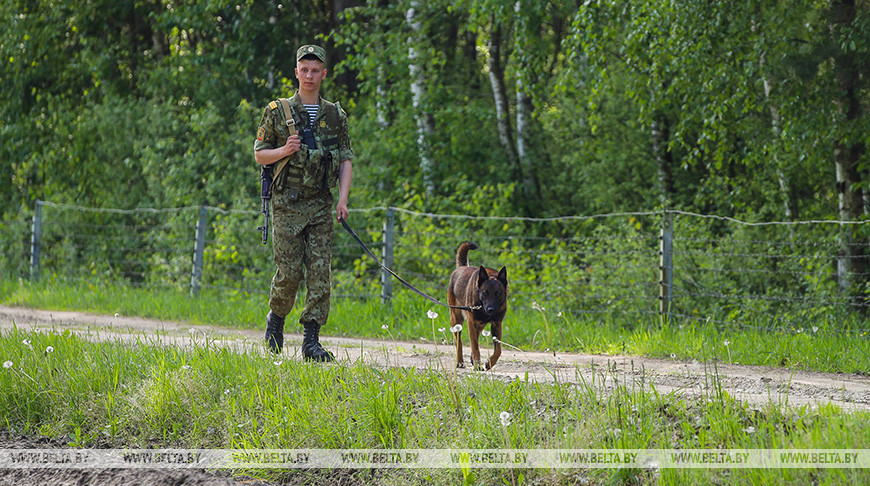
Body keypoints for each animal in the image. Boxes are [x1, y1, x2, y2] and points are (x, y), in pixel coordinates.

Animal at [450, 241, 510, 370]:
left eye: (498, 293)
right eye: (484, 293)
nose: (490, 309)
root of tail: (461, 267)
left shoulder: (496, 324)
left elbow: (498, 350)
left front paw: (489, 363)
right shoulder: (471, 322)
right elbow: (474, 346)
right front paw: (478, 364)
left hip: (479, 325)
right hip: (457, 320)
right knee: (459, 342)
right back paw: (460, 362)